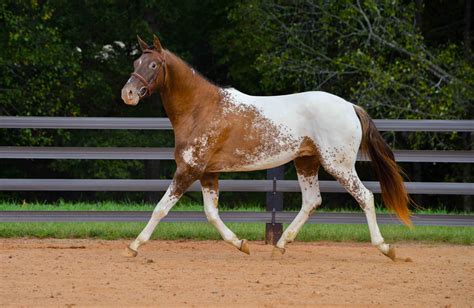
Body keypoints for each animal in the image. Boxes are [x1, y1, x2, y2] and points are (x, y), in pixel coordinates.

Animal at [120, 35, 410, 262]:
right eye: (135, 63)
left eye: (153, 64)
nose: (128, 94)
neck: (201, 109)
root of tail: (350, 106)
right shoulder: (208, 173)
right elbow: (211, 214)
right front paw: (241, 244)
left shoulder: (188, 170)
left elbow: (161, 208)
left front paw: (133, 246)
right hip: (306, 162)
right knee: (312, 201)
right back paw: (280, 246)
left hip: (338, 165)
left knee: (365, 196)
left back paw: (386, 248)